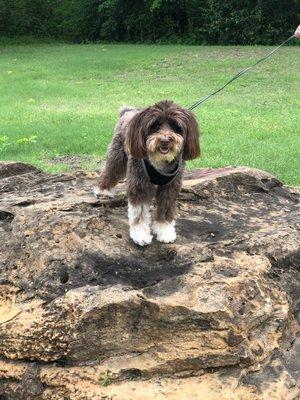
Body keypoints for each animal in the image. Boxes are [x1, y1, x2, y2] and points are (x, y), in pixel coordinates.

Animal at [96, 100, 199, 245]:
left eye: (176, 126)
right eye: (154, 126)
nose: (165, 140)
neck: (159, 160)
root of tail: (127, 111)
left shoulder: (171, 187)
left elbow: (166, 208)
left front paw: (165, 230)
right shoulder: (139, 184)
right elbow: (139, 213)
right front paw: (140, 235)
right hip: (117, 155)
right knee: (110, 171)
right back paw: (103, 190)